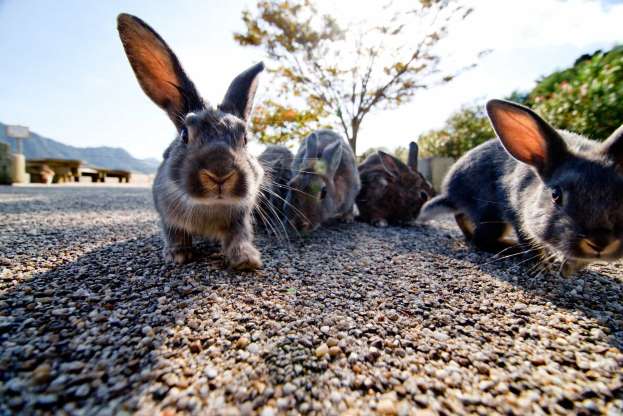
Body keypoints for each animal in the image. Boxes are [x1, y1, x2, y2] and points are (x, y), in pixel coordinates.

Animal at [117, 13, 266, 270]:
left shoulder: (241, 220)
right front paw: (177, 255)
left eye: (245, 137)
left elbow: (239, 236)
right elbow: (174, 233)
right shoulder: (167, 217)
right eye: (185, 135)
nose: (220, 173)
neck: (210, 206)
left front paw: (246, 260)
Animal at [420, 99, 623, 278]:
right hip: (492, 218)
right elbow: (528, 240)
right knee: (480, 240)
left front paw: (567, 267)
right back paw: (510, 246)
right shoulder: (516, 213)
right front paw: (542, 265)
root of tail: (450, 193)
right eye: (555, 195)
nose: (600, 242)